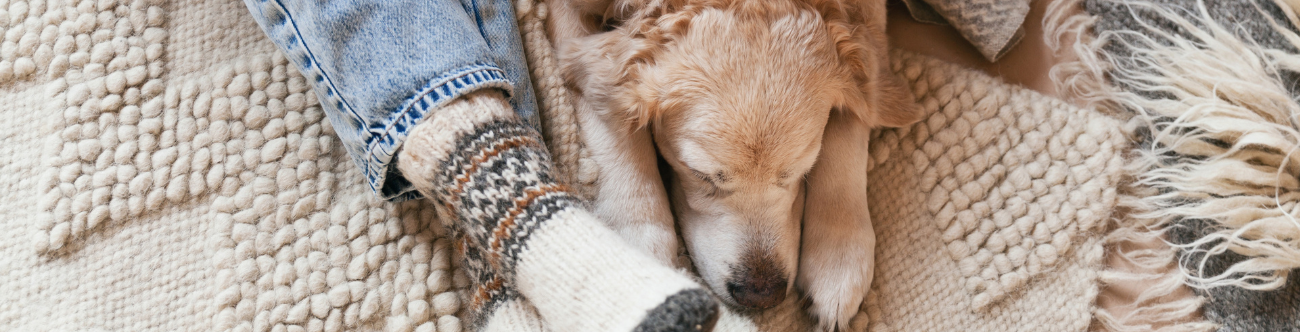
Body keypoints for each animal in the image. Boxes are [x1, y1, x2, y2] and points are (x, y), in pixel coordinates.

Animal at [548, 0, 925, 329]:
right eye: (700, 175)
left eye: (799, 171)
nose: (762, 295)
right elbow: (615, 128)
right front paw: (635, 252)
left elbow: (857, 114)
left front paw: (838, 259)